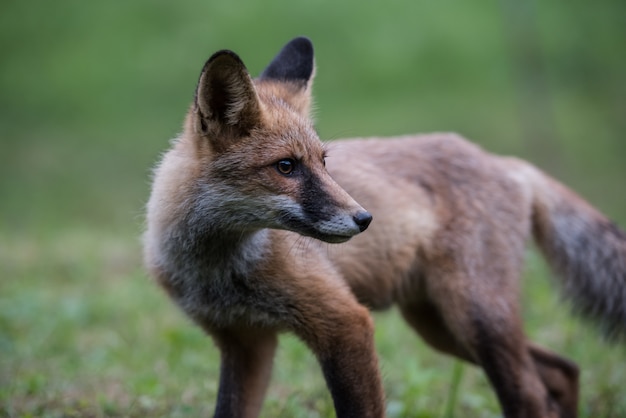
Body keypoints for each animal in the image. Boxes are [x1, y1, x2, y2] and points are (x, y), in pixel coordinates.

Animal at [141, 36, 624, 418]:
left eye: (323, 162)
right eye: (286, 167)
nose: (364, 219)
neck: (219, 269)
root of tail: (507, 162)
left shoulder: (344, 322)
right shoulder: (245, 340)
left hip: (476, 317)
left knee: (531, 393)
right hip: (440, 326)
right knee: (561, 370)